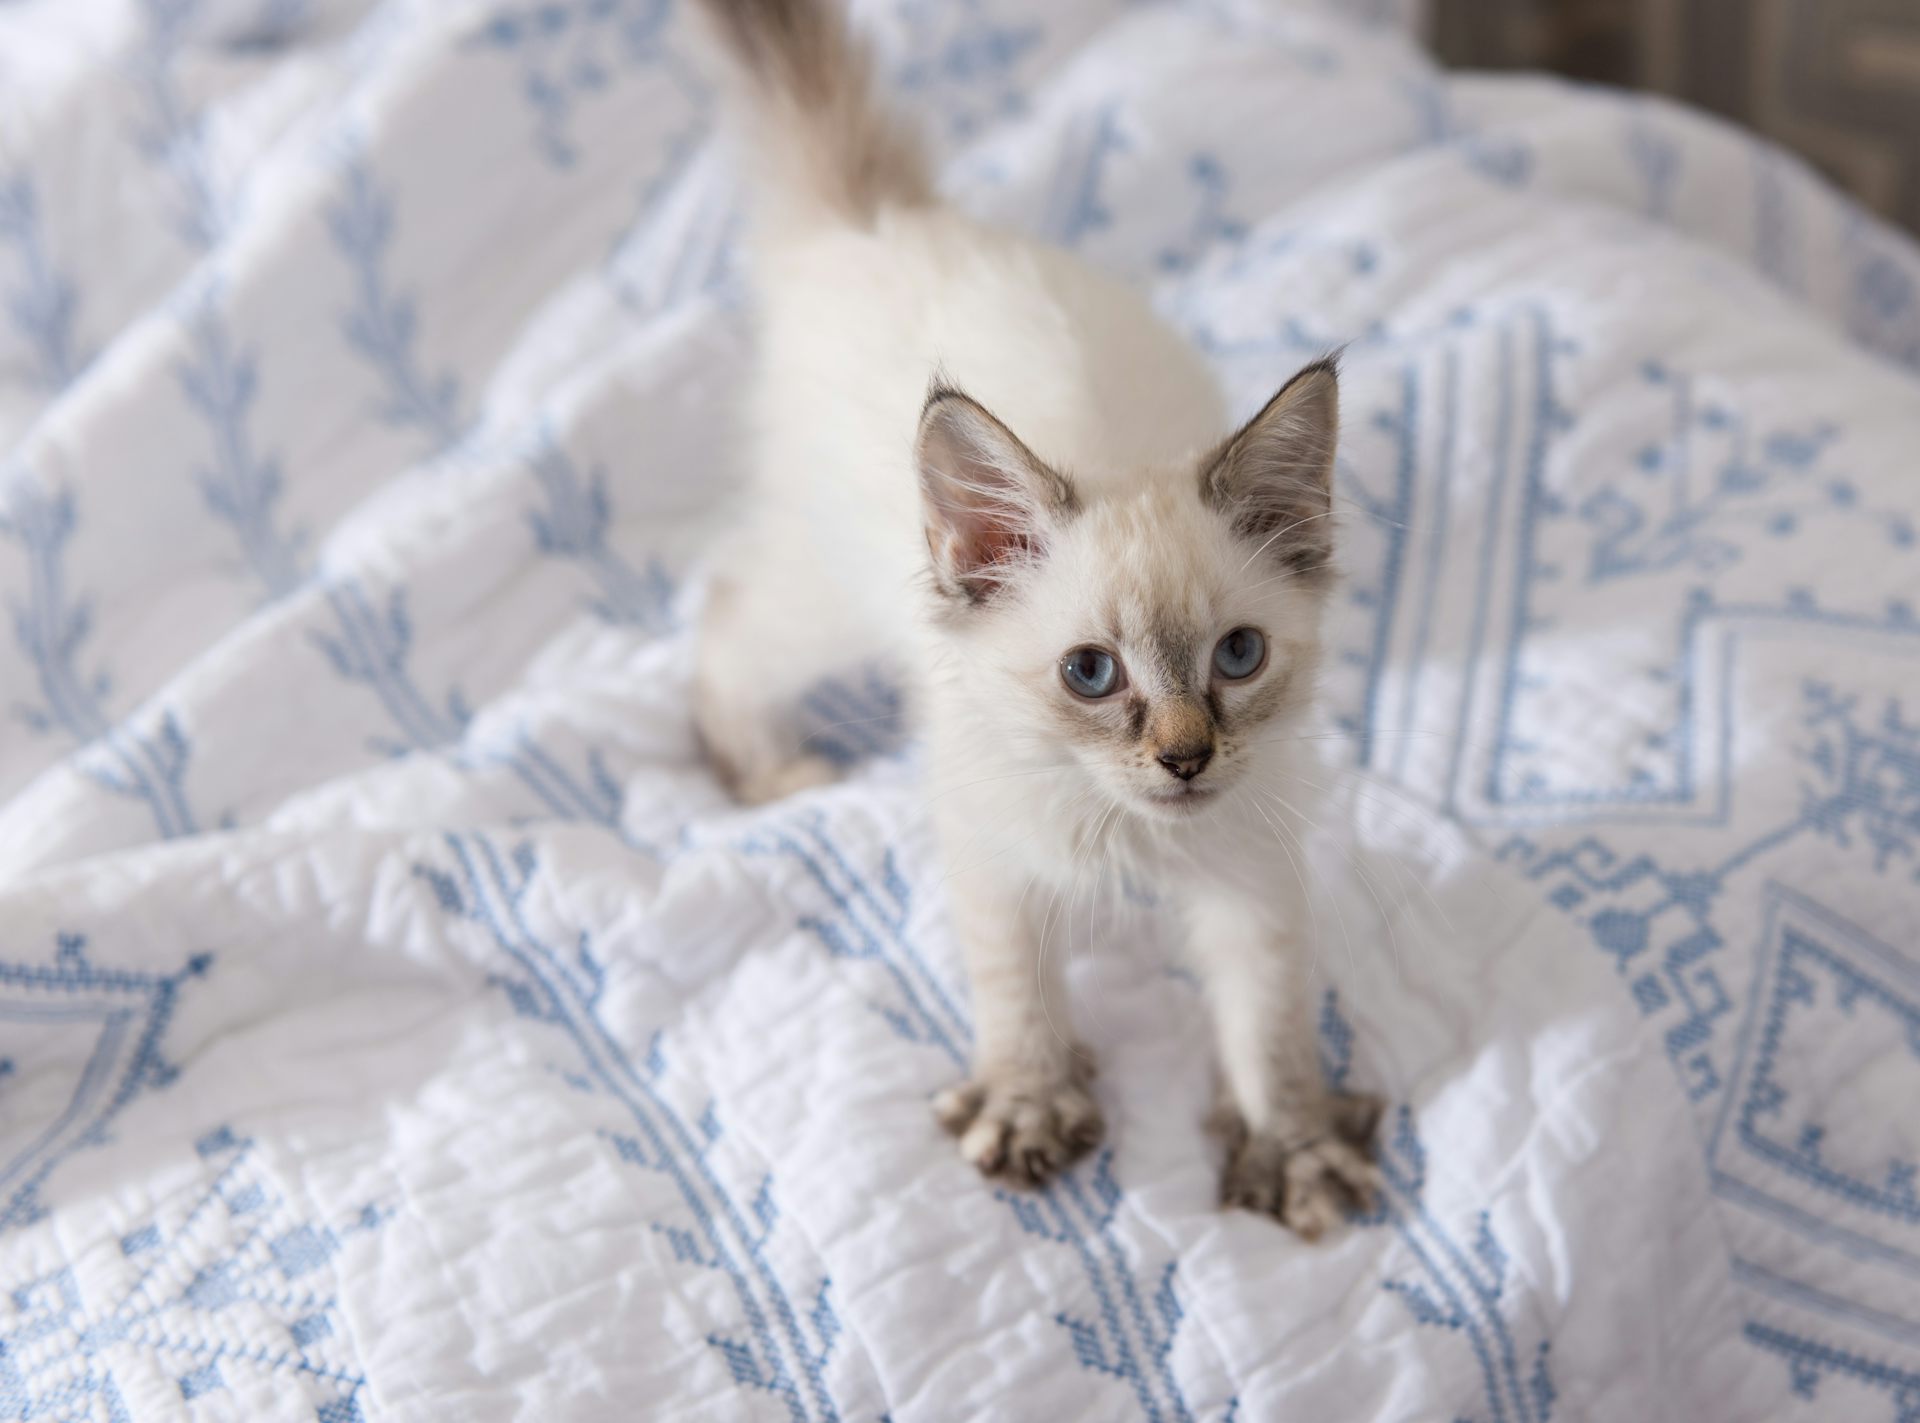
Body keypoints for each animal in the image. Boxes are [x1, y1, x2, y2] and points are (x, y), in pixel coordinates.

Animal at [691, 0, 1382, 1229]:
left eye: (1239, 656)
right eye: (1091, 674)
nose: (1187, 759)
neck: (1128, 831)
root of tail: (888, 222)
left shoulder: (1253, 876)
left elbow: (1269, 1029)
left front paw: (1292, 1151)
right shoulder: (991, 852)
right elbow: (1018, 993)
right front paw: (1026, 1106)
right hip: (823, 600)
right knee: (728, 613)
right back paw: (764, 772)